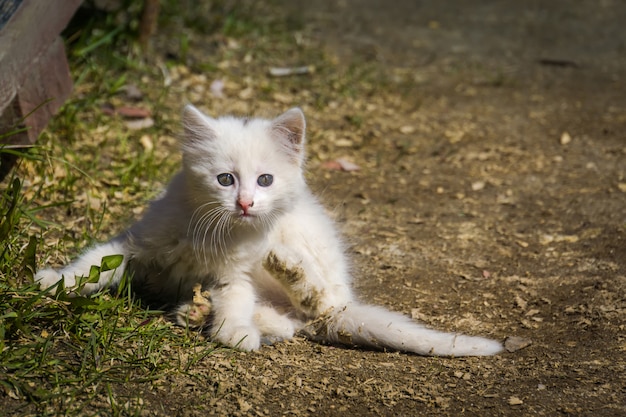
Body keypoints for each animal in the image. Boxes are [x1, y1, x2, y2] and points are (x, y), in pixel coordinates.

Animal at [35, 105, 502, 356]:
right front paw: (57, 282)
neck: (212, 231)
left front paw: (233, 332)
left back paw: (291, 278)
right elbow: (95, 262)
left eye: (264, 180)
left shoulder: (236, 273)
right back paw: (197, 311)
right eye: (225, 180)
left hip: (303, 242)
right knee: (288, 322)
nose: (245, 204)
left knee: (320, 306)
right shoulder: (136, 244)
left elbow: (236, 300)